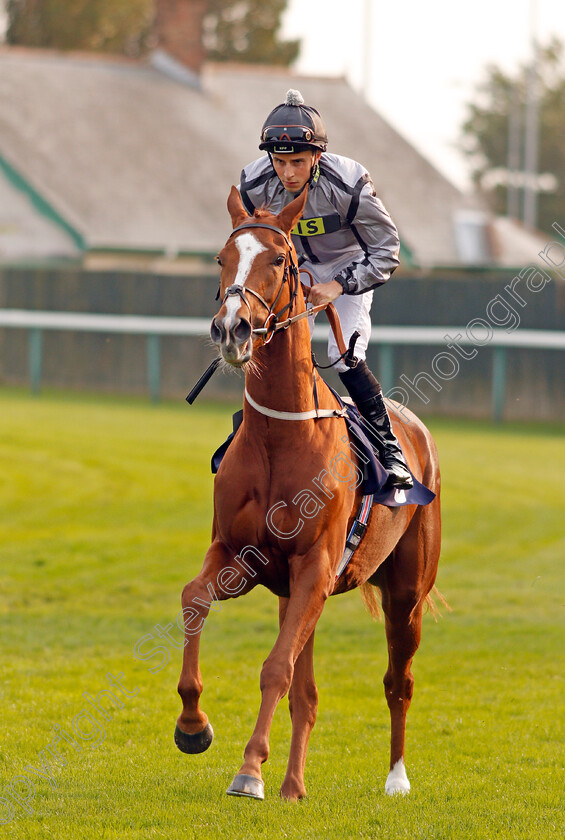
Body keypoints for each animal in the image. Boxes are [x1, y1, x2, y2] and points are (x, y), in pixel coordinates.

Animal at [174, 187, 442, 804]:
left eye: (279, 259)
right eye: (222, 257)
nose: (232, 329)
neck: (281, 434)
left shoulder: (317, 566)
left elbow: (275, 669)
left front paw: (249, 771)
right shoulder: (242, 557)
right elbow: (194, 600)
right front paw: (193, 726)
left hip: (405, 595)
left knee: (398, 681)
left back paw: (396, 778)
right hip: (297, 594)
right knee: (308, 693)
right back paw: (294, 785)